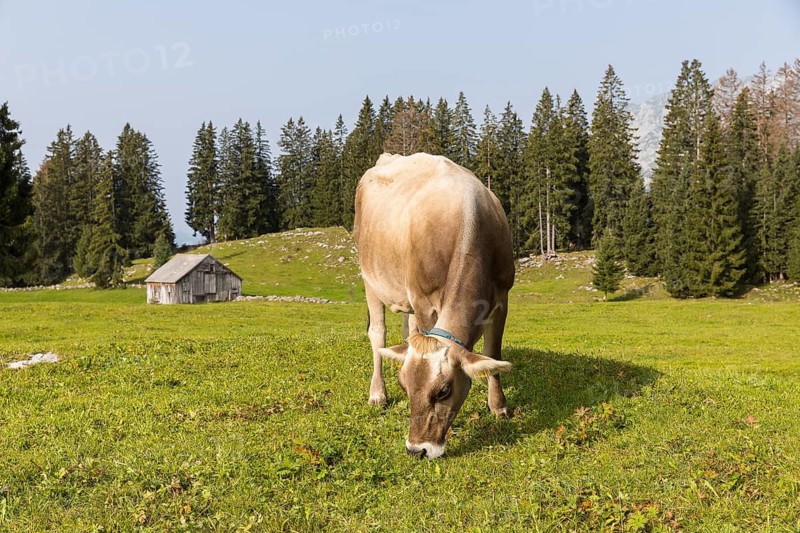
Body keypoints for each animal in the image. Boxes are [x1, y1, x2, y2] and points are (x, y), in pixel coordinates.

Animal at [353, 152, 515, 459]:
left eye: (443, 391)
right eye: (404, 387)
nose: (417, 449)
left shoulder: (502, 298)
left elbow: (492, 352)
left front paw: (498, 406)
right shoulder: (425, 302)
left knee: (406, 332)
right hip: (371, 279)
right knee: (377, 334)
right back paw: (377, 393)